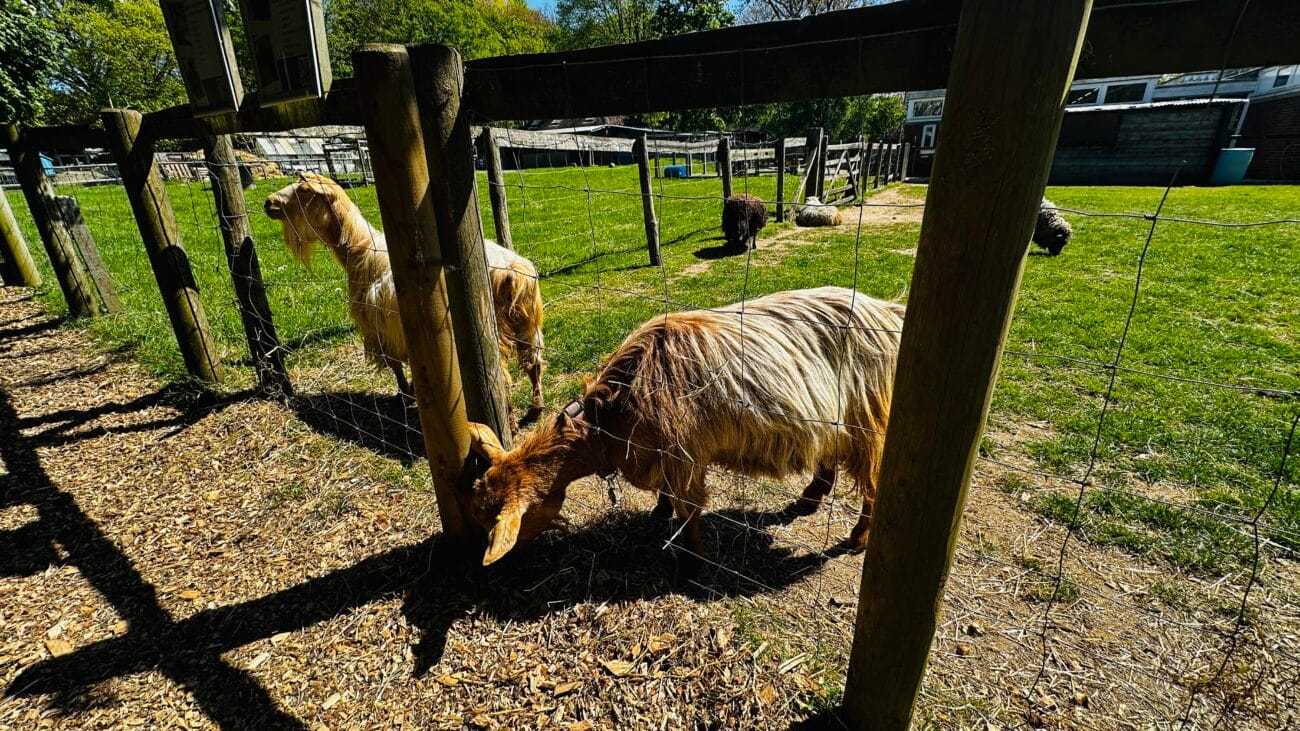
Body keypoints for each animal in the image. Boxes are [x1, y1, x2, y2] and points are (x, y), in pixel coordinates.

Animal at [264, 173, 544, 411]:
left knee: (502, 380)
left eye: (303, 190)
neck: (359, 250)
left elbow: (396, 367)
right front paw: (409, 391)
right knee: (534, 364)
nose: (269, 202)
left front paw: (404, 394)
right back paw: (537, 405)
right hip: (528, 324)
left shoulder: (379, 332)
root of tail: (513, 272)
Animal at [465, 287, 904, 567]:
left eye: (492, 521)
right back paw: (810, 498)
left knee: (873, 482)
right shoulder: (663, 455)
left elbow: (689, 509)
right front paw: (657, 516)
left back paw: (857, 539)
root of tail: (887, 313)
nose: (488, 565)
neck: (609, 419)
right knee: (830, 455)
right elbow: (666, 497)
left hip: (866, 417)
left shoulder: (683, 454)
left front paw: (694, 561)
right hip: (835, 421)